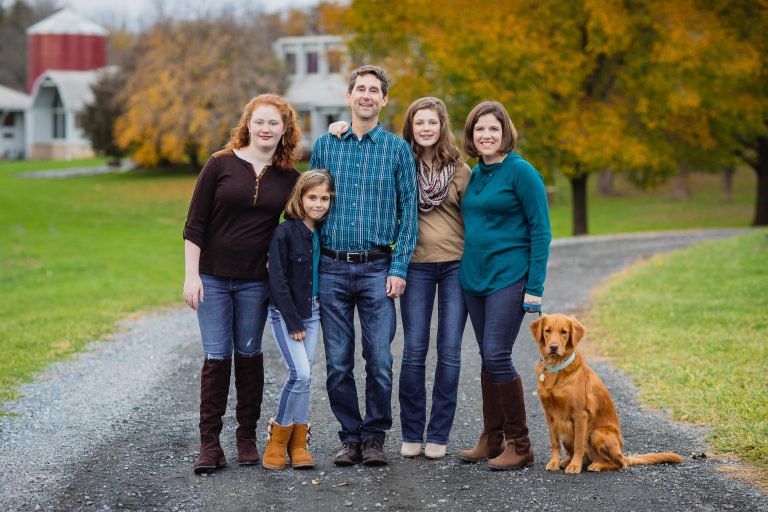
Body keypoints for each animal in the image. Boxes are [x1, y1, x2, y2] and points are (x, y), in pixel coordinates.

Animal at [528, 314, 684, 474]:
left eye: (564, 332)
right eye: (547, 331)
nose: (553, 347)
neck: (556, 368)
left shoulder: (580, 414)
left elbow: (579, 444)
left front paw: (575, 466)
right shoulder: (549, 413)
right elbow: (554, 442)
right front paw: (554, 462)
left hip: (597, 434)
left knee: (619, 463)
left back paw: (596, 465)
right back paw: (568, 461)